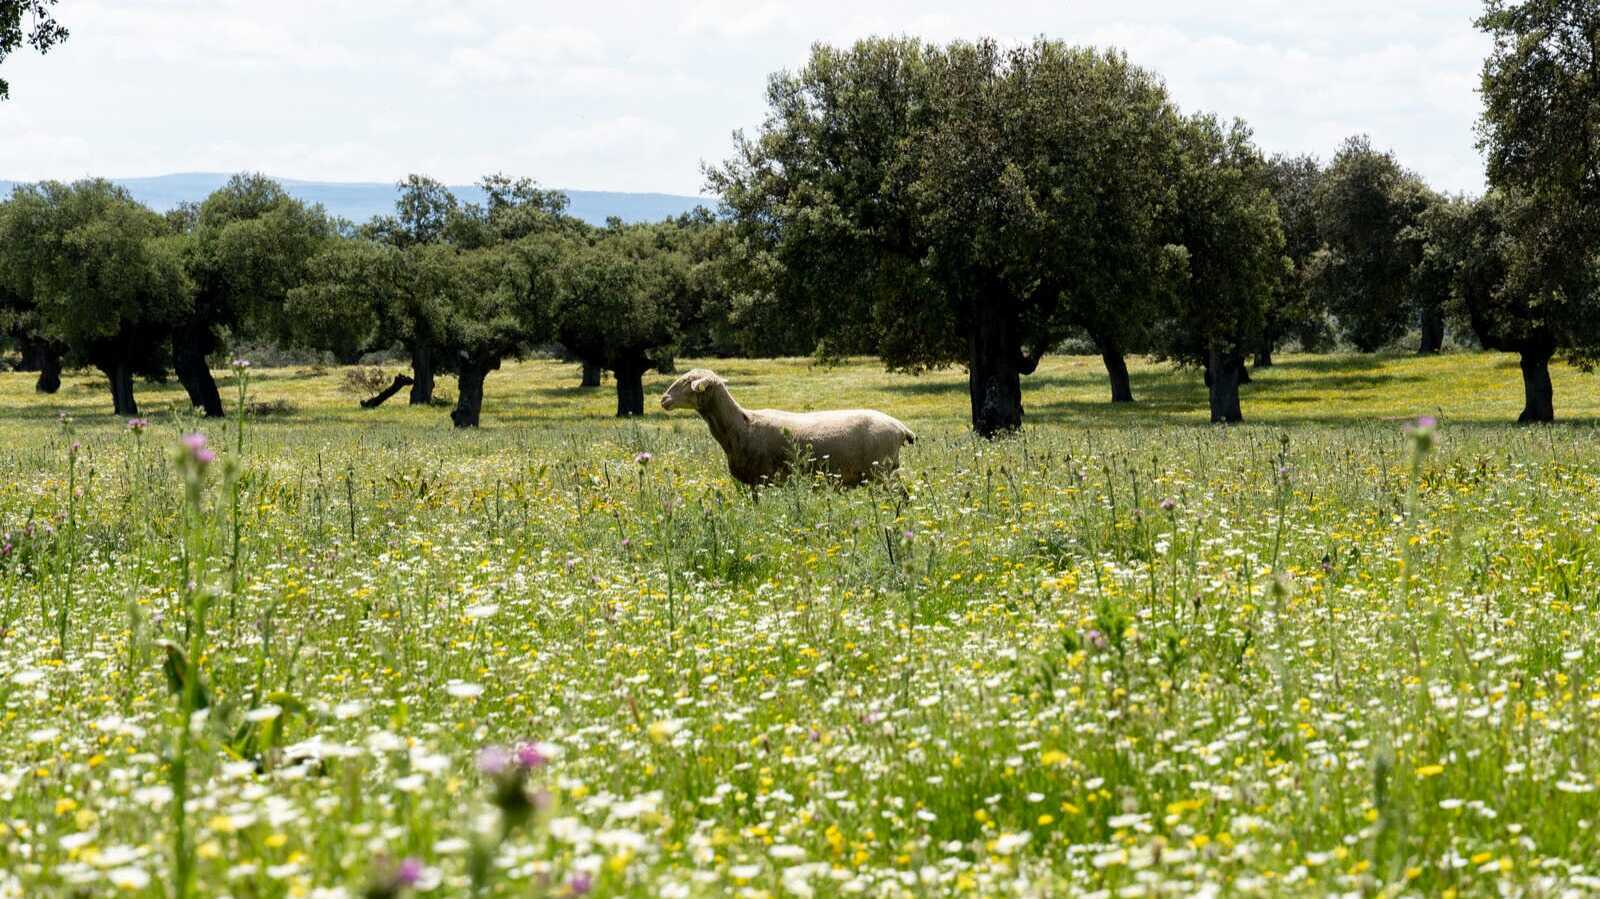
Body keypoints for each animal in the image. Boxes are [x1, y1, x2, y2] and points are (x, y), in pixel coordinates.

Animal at [659, 368, 915, 487]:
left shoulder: (764, 480)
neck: (741, 425)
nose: (663, 399)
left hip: (882, 472)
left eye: (687, 382)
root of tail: (900, 427)